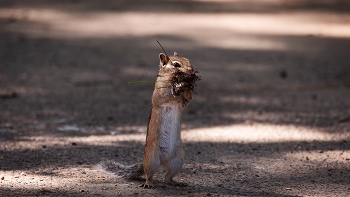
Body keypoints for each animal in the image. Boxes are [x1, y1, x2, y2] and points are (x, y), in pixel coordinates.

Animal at [100, 49, 201, 188]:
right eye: (176, 64)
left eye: (188, 60)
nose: (192, 71)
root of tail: (163, 161)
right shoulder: (159, 93)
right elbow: (168, 96)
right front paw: (177, 90)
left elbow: (186, 101)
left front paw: (186, 95)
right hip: (152, 159)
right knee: (150, 174)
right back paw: (149, 183)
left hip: (178, 160)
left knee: (167, 177)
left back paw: (176, 182)